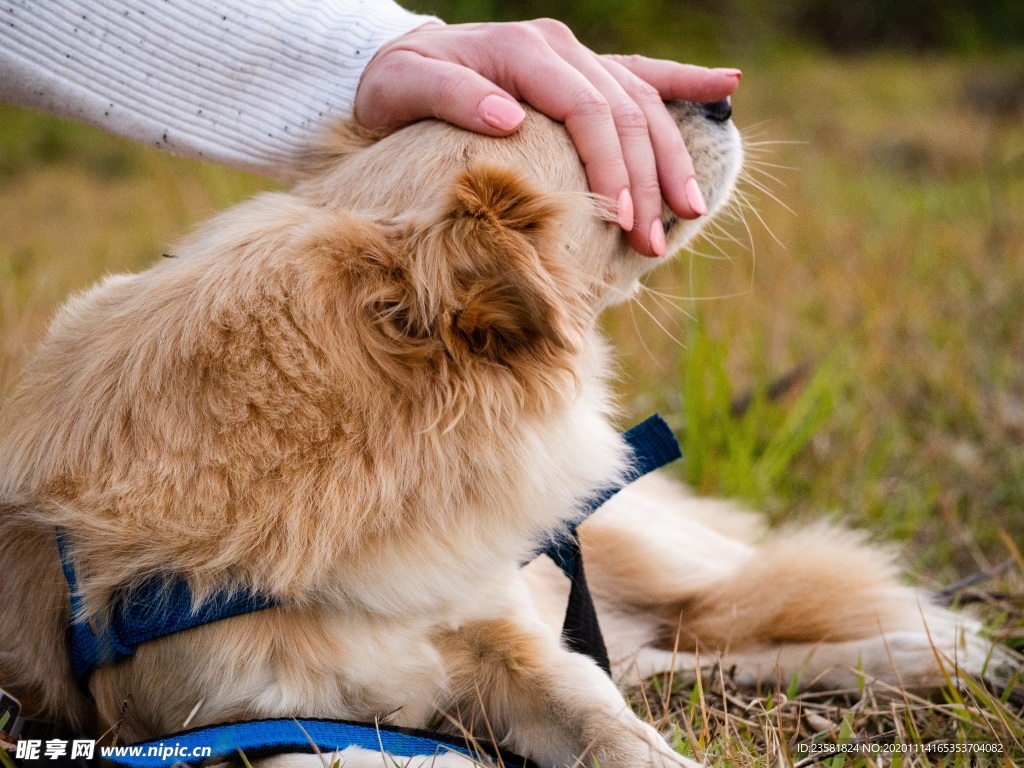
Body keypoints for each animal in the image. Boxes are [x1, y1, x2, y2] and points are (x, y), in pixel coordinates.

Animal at [0, 103, 1007, 768]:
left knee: (736, 617)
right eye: (604, 153)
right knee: (688, 656)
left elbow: (611, 725)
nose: (718, 98)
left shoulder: (513, 641)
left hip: (655, 562)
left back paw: (938, 653)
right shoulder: (235, 728)